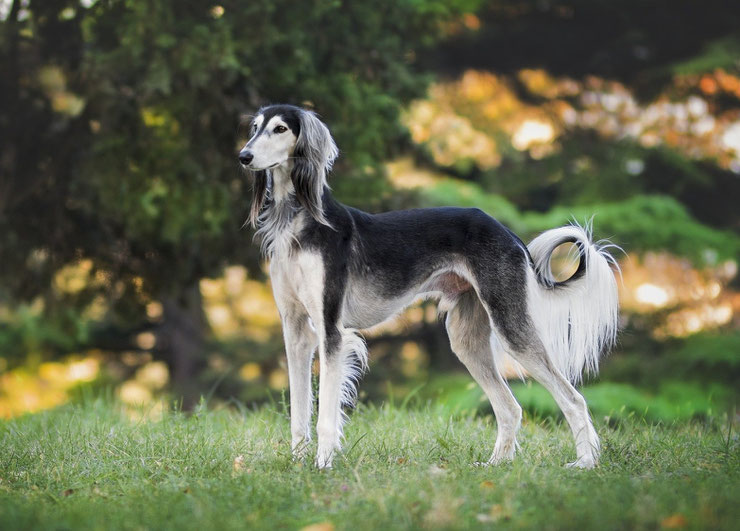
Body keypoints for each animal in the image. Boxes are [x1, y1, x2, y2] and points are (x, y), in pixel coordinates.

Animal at [237, 104, 620, 470]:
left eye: (280, 129)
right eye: (255, 127)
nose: (244, 156)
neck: (298, 219)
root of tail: (508, 233)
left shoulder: (331, 331)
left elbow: (325, 415)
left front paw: (323, 464)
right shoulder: (296, 331)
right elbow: (299, 411)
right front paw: (298, 463)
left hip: (510, 326)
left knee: (573, 398)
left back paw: (585, 463)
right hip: (466, 338)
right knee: (510, 407)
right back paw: (496, 464)